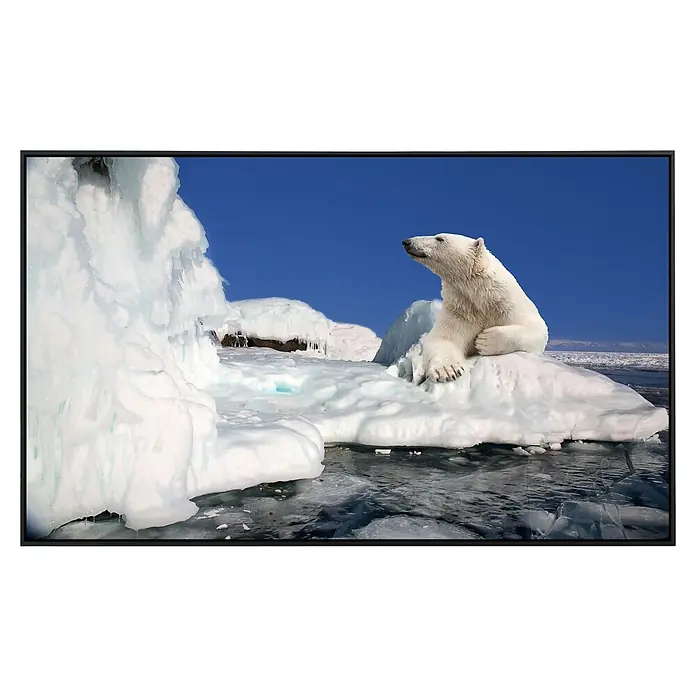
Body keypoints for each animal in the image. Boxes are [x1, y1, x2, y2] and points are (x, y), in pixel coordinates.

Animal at [402, 233, 548, 383]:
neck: (483, 299)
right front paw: (448, 371)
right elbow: (443, 338)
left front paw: (485, 340)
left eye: (440, 238)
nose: (407, 242)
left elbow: (537, 330)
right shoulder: (460, 310)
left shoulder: (509, 306)